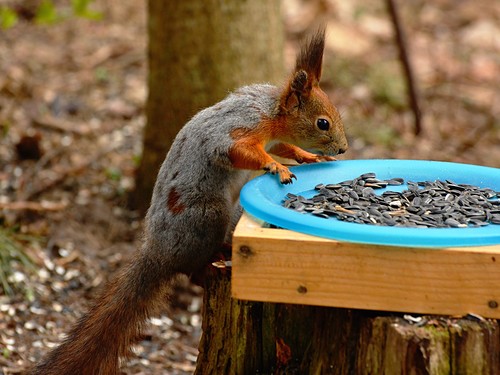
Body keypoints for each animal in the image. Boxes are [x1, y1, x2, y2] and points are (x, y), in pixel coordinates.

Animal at [30, 28, 344, 375]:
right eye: (322, 123)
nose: (343, 148)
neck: (272, 111)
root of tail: (159, 254)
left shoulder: (271, 136)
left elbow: (282, 147)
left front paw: (306, 157)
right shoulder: (236, 129)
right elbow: (240, 151)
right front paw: (275, 166)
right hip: (207, 217)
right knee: (191, 271)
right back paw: (213, 260)